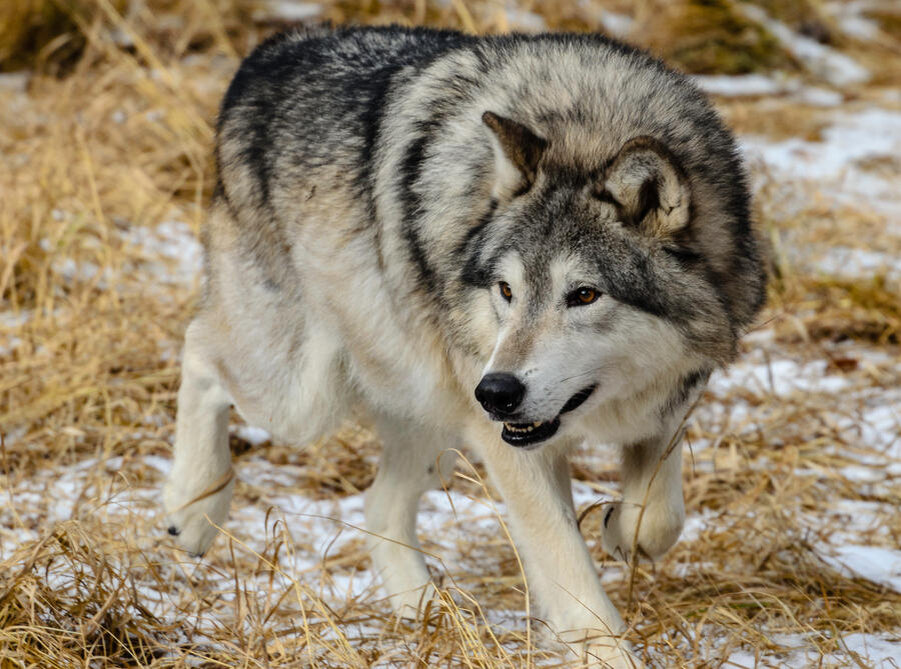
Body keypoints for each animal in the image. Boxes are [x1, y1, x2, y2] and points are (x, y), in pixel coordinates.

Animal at [163, 24, 768, 664]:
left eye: (584, 294)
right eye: (506, 289)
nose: (496, 392)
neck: (587, 125)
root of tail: (273, 50)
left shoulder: (678, 389)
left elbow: (659, 515)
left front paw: (620, 532)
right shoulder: (510, 445)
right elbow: (569, 567)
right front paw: (603, 647)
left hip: (432, 414)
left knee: (379, 504)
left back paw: (428, 614)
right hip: (308, 399)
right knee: (199, 348)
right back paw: (193, 509)